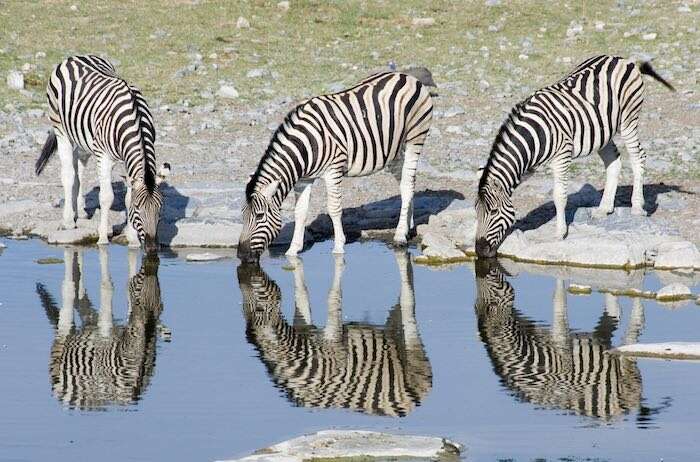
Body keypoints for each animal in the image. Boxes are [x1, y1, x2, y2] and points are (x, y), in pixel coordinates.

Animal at [35, 55, 170, 253]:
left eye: (160, 208)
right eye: (138, 208)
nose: (153, 248)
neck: (134, 117)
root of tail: (75, 57)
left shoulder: (127, 160)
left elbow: (127, 197)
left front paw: (132, 239)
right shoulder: (104, 156)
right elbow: (106, 197)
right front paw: (103, 238)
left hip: (82, 139)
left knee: (79, 168)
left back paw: (81, 211)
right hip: (61, 129)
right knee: (68, 174)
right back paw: (68, 220)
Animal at [236, 250, 432, 417]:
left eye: (259, 308)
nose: (244, 258)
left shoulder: (335, 346)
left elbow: (332, 300)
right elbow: (302, 296)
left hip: (413, 355)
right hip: (392, 336)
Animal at [237, 71, 434, 263]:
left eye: (260, 216)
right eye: (242, 215)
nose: (241, 255)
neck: (306, 146)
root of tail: (406, 76)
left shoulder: (333, 170)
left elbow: (334, 208)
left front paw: (339, 246)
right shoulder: (304, 179)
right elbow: (300, 212)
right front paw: (293, 251)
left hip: (415, 139)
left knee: (407, 186)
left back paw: (400, 236)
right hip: (395, 152)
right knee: (408, 184)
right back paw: (408, 227)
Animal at [474, 259, 650, 420]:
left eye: (491, 303)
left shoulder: (560, 347)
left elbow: (558, 302)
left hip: (625, 377)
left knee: (636, 321)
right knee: (616, 313)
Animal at [475, 55, 675, 257]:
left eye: (493, 212)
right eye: (476, 211)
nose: (480, 251)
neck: (535, 136)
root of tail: (624, 59)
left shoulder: (561, 156)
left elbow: (559, 196)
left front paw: (559, 233)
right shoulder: (526, 168)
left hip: (628, 120)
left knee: (638, 157)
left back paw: (637, 207)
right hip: (603, 132)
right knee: (613, 162)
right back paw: (603, 209)